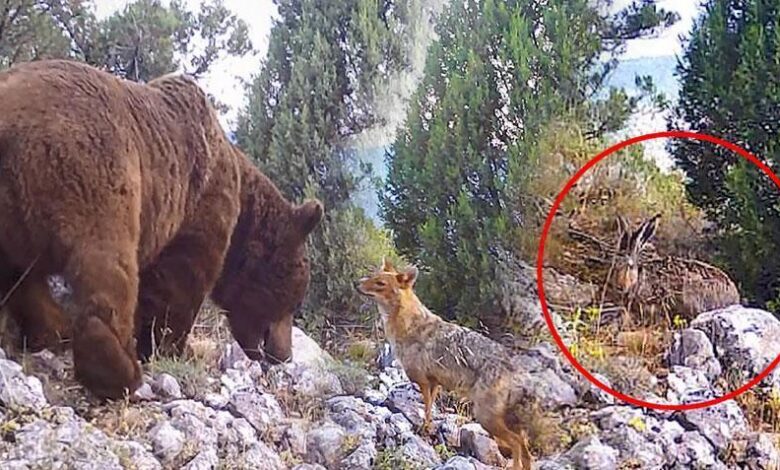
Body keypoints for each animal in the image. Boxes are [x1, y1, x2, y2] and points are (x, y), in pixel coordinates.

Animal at [0, 57, 322, 398]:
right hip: (90, 169)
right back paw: (118, 370)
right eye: (293, 300)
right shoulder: (199, 199)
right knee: (107, 263)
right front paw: (170, 346)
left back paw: (56, 330)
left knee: (20, 279)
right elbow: (179, 279)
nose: (283, 355)